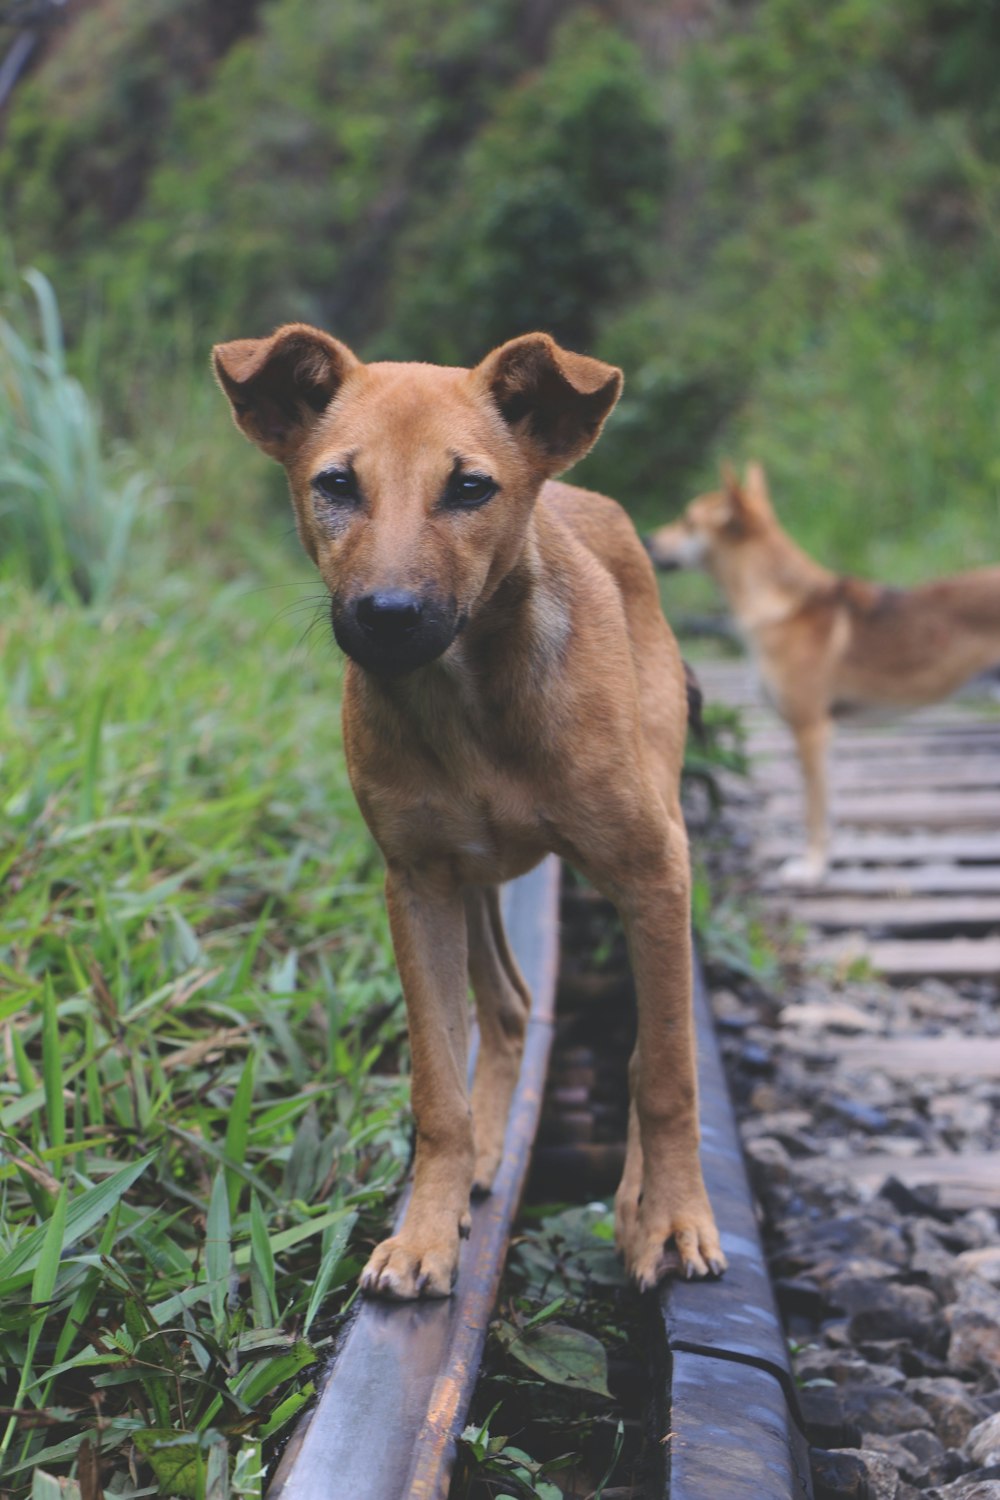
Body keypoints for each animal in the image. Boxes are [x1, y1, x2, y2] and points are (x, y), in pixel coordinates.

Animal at [215, 322, 722, 1296]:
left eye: (471, 488)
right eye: (338, 484)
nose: (387, 615)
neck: (468, 700)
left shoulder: (653, 870)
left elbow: (667, 1072)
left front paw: (676, 1220)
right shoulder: (416, 882)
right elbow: (438, 1089)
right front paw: (425, 1230)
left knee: (641, 1047)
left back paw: (641, 1214)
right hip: (477, 874)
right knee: (514, 1005)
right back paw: (491, 1155)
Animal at [644, 462, 1000, 882]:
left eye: (688, 521)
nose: (648, 540)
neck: (780, 605)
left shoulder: (810, 728)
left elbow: (813, 809)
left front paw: (811, 867)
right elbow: (825, 808)